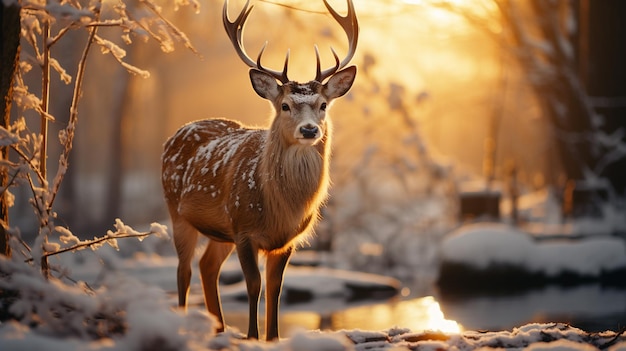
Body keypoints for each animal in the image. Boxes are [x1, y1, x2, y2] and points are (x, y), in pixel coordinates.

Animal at [158, 0, 358, 340]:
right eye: (285, 105)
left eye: (323, 105)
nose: (309, 130)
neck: (279, 208)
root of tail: (174, 135)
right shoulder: (243, 228)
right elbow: (254, 285)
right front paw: (253, 335)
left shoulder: (286, 240)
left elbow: (276, 288)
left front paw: (272, 336)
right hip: (177, 211)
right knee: (183, 270)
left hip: (219, 232)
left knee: (207, 267)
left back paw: (220, 328)